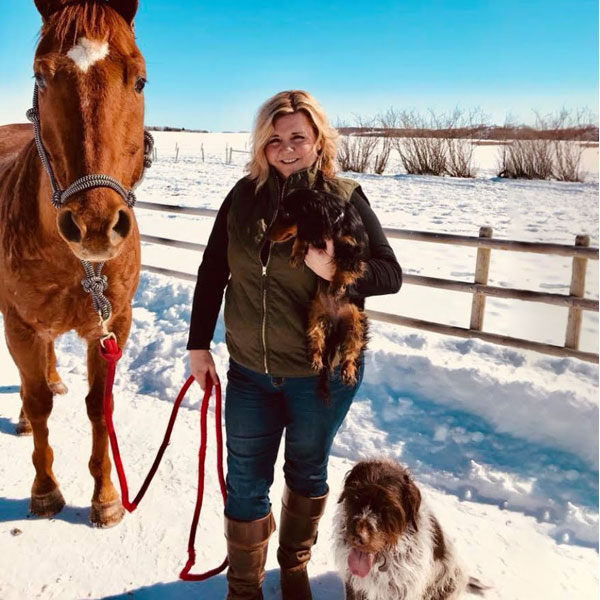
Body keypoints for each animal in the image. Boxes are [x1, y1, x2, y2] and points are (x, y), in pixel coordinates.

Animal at [0, 0, 149, 524]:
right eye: (41, 77)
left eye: (139, 80)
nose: (95, 226)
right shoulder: (19, 324)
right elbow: (38, 402)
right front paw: (45, 491)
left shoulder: (112, 327)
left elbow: (99, 408)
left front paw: (106, 498)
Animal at [268, 190, 370, 396]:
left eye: (286, 213)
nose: (266, 234)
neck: (332, 222)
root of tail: (335, 323)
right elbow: (302, 236)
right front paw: (297, 253)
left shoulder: (353, 248)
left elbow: (346, 266)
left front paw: (338, 285)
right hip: (315, 314)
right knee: (316, 339)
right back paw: (316, 359)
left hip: (357, 321)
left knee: (351, 349)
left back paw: (348, 371)